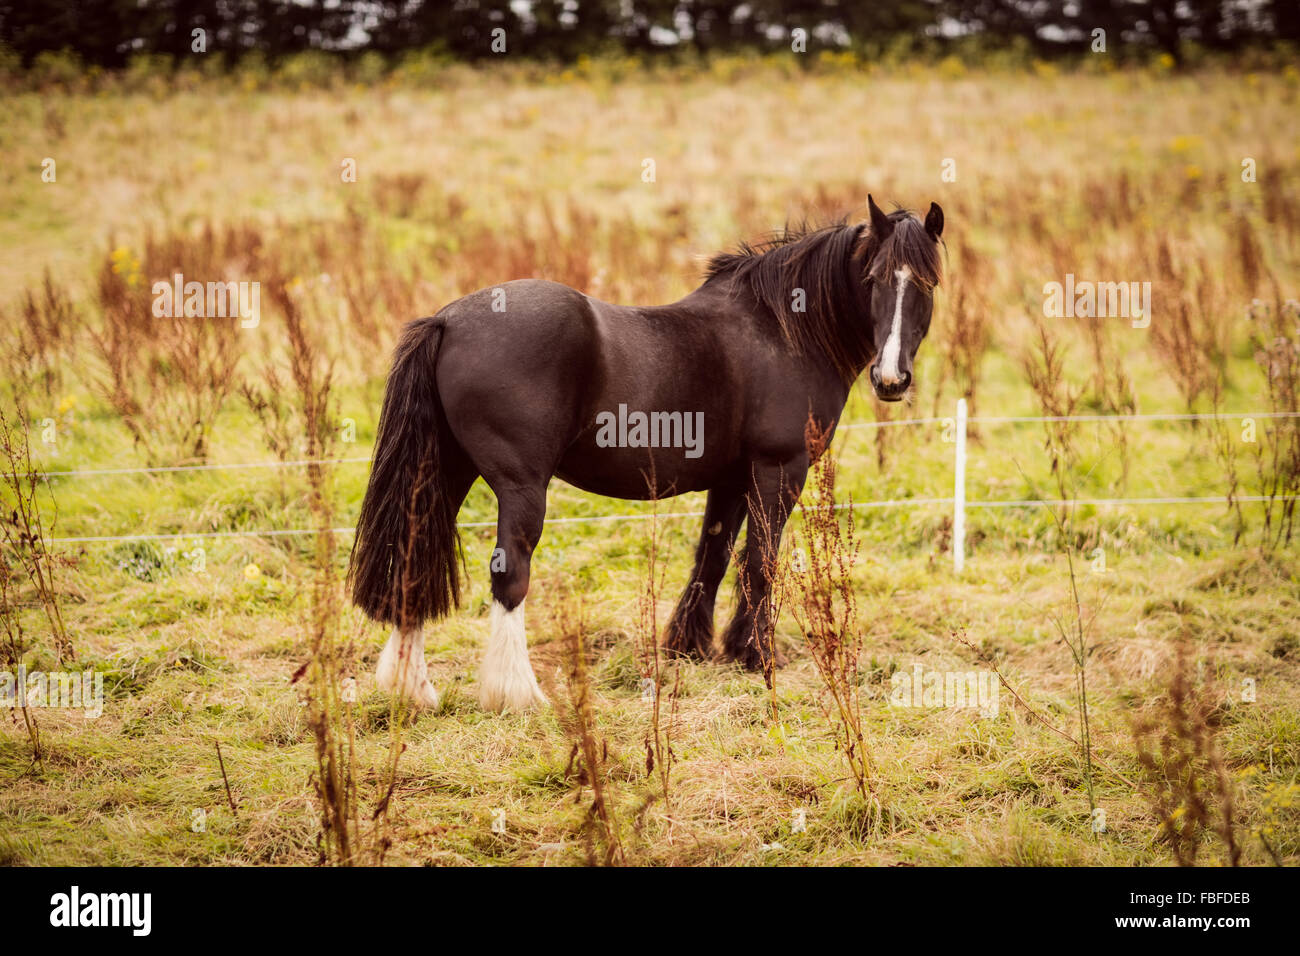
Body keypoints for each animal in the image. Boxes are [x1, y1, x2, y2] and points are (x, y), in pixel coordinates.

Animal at [348, 196, 946, 712]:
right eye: (873, 280)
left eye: (926, 283)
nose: (891, 379)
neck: (783, 330)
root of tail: (447, 321)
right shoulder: (779, 469)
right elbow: (760, 562)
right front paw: (756, 655)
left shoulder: (731, 477)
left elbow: (713, 555)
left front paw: (690, 646)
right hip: (520, 487)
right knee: (510, 574)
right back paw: (518, 693)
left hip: (444, 473)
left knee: (412, 561)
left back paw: (411, 688)